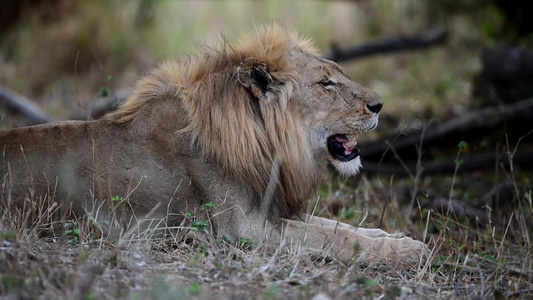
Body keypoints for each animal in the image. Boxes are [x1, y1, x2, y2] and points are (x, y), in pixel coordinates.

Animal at [0, 25, 428, 264]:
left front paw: (399, 239)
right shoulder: (243, 231)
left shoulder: (270, 210)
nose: (379, 105)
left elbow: (341, 226)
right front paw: (407, 253)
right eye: (326, 83)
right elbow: (333, 237)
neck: (267, 144)